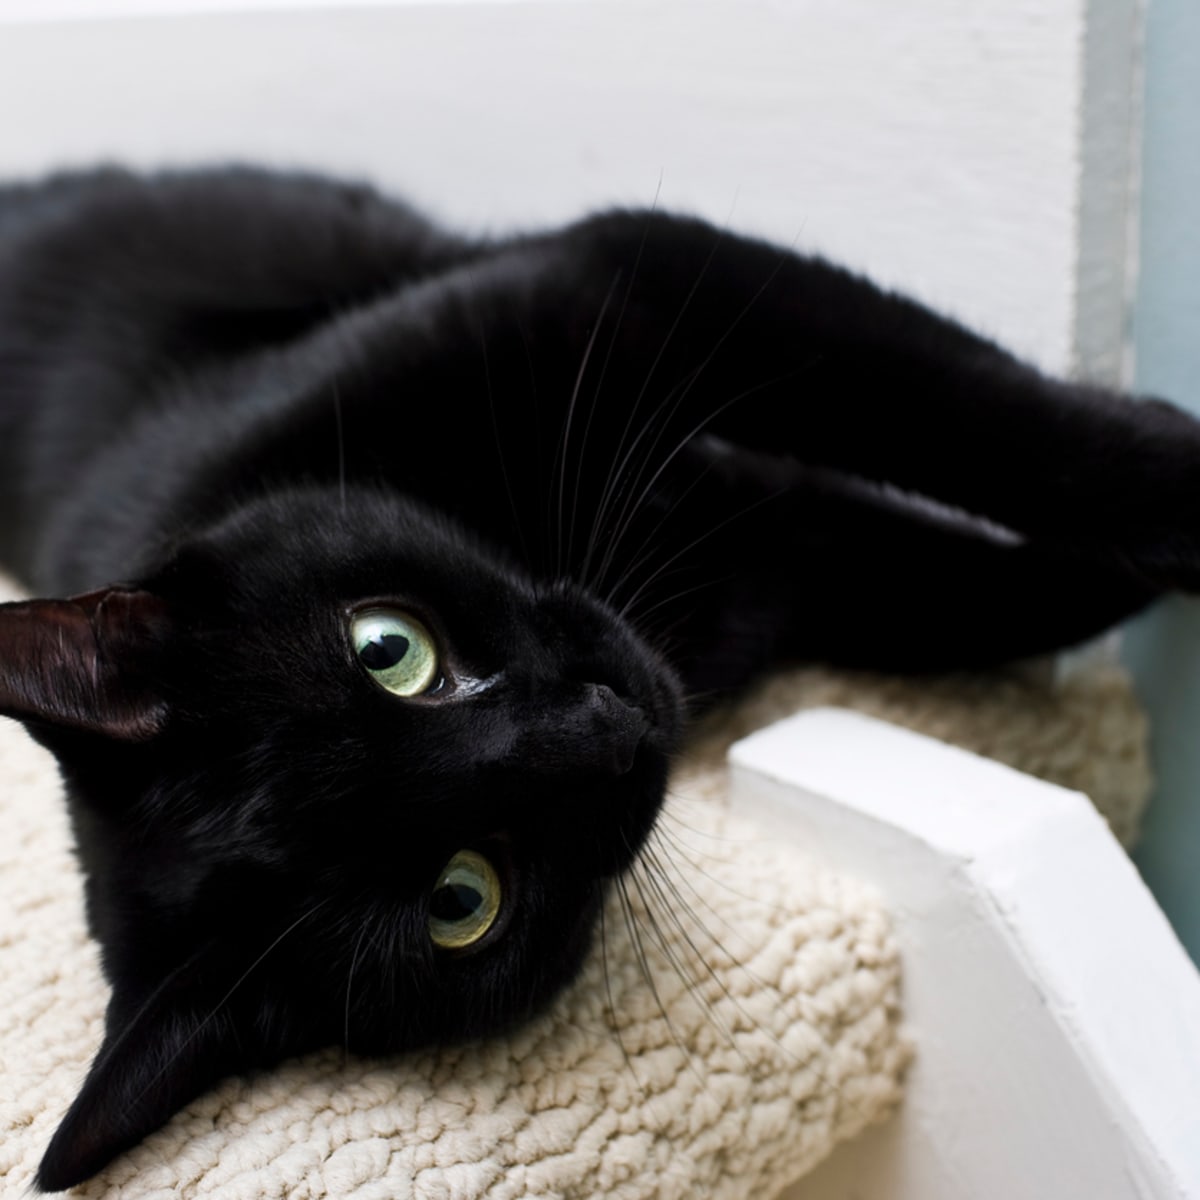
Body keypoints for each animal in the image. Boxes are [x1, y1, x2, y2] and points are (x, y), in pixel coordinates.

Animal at [0, 169, 1185, 1190]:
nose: (607, 725)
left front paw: (1179, 475)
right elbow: (965, 585)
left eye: (387, 650)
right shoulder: (794, 561)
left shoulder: (610, 274)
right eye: (461, 900)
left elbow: (975, 419)